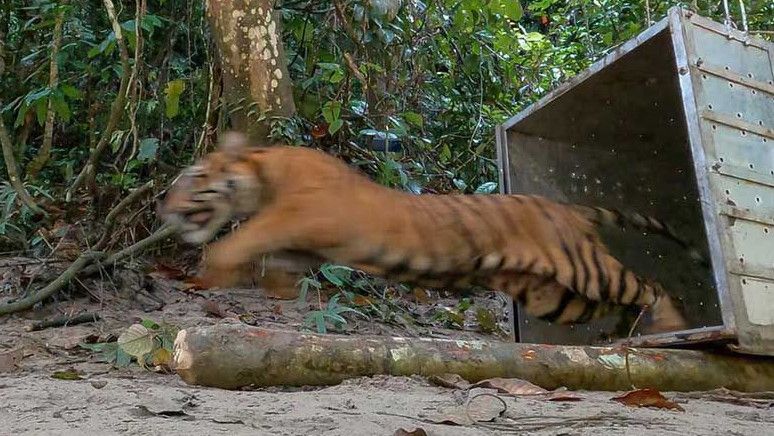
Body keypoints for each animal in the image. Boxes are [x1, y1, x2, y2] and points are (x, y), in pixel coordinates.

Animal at [159, 131, 704, 332]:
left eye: (194, 177)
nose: (164, 206)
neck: (261, 174)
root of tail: (568, 208)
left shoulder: (299, 213)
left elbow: (242, 236)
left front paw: (211, 271)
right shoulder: (300, 246)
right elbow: (274, 264)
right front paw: (269, 289)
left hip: (582, 268)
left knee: (649, 284)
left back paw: (672, 327)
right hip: (555, 295)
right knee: (624, 298)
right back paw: (626, 334)